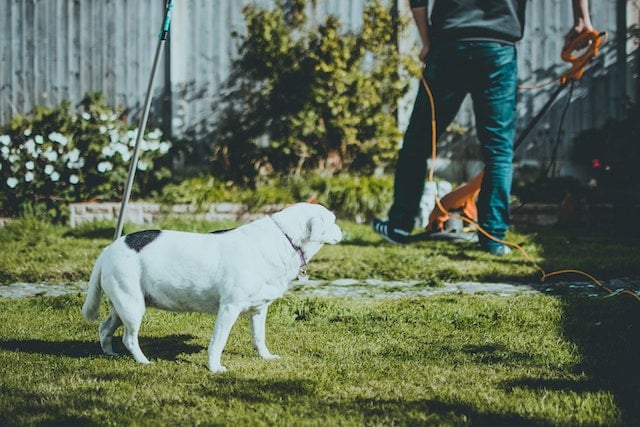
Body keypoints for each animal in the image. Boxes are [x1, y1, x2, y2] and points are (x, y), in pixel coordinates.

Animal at [82, 202, 342, 372]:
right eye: (332, 220)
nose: (342, 231)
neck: (284, 238)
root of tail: (108, 249)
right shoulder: (229, 307)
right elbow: (218, 341)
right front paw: (215, 367)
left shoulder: (259, 310)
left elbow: (259, 337)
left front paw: (265, 357)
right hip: (132, 305)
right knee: (129, 338)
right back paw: (143, 361)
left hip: (123, 304)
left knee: (105, 328)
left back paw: (110, 353)